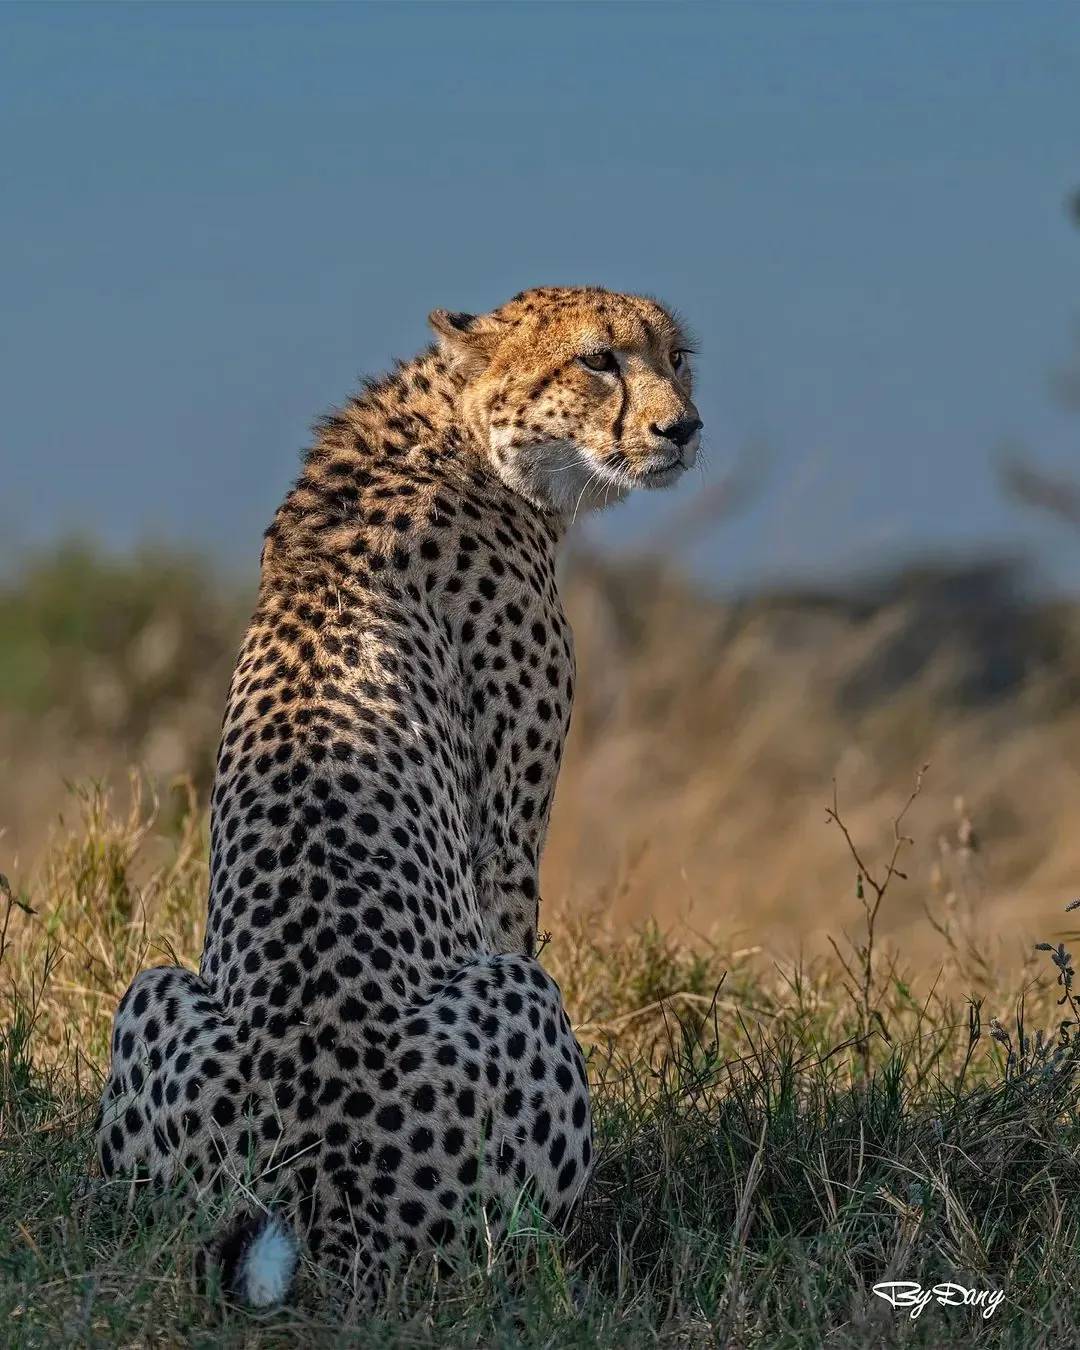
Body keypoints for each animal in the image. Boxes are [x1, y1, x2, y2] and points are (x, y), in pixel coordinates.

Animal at [94, 285, 702, 1306]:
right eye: (598, 360)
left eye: (678, 357)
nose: (684, 427)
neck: (457, 428)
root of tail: (321, 1200)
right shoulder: (503, 839)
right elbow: (509, 905)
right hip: (519, 1010)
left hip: (155, 996)